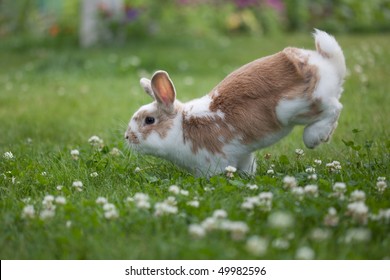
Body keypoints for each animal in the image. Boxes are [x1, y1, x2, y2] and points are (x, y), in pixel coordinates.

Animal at [125, 29, 344, 177]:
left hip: (296, 107)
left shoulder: (213, 161)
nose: (127, 137)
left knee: (334, 108)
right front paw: (248, 177)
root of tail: (326, 63)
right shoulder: (243, 154)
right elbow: (247, 167)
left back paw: (314, 137)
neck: (182, 126)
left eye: (149, 120)